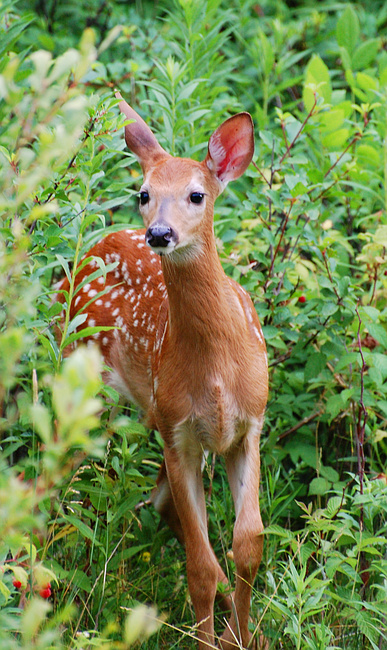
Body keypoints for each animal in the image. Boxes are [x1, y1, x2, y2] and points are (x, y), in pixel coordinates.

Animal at [56, 92, 270, 648]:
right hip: (90, 385)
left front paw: (242, 637)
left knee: (161, 503)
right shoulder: (179, 432)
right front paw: (212, 639)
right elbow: (198, 566)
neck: (215, 372)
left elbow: (249, 546)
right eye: (144, 193)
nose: (159, 232)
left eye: (197, 194)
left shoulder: (250, 425)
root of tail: (95, 245)